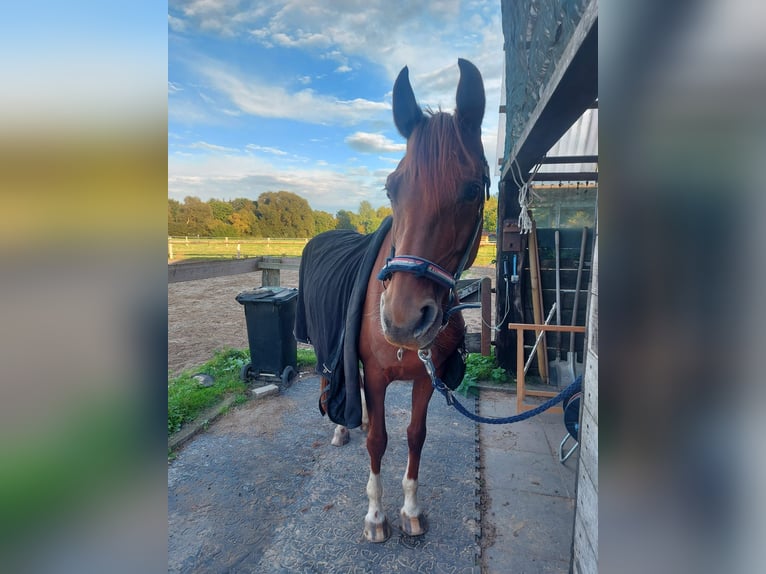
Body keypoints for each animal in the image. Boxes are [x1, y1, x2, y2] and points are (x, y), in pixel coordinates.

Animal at [297, 58, 487, 543]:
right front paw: (375, 516)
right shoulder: (378, 377)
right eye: (390, 188)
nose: (403, 320)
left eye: (473, 189)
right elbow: (378, 442)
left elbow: (414, 435)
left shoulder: (426, 380)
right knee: (328, 376)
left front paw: (410, 510)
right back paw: (341, 427)